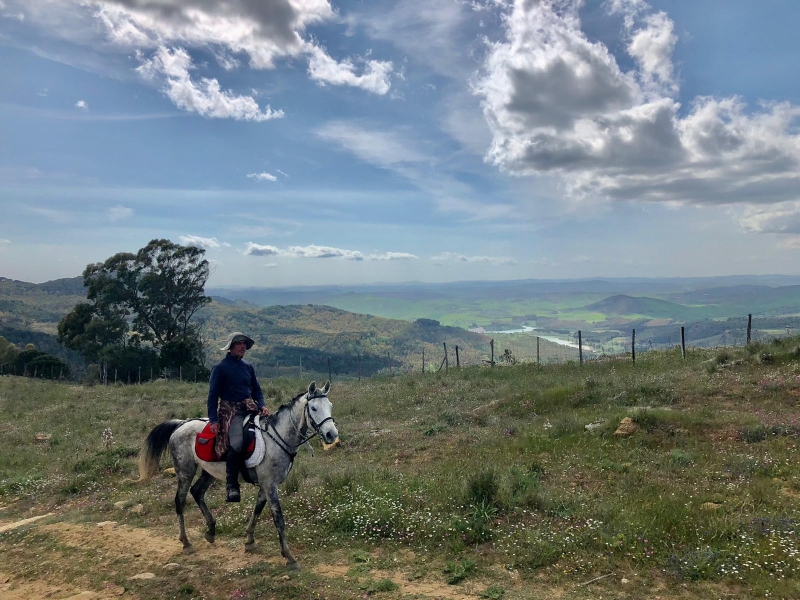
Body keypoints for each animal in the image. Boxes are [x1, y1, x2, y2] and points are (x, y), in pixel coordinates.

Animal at [138, 380, 338, 568]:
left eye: (330, 406)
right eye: (314, 408)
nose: (331, 434)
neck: (278, 437)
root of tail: (181, 424)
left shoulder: (265, 485)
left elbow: (257, 510)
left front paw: (249, 540)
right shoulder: (270, 485)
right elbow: (279, 519)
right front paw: (289, 557)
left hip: (209, 471)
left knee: (197, 492)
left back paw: (211, 531)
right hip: (185, 471)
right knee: (180, 501)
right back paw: (186, 542)